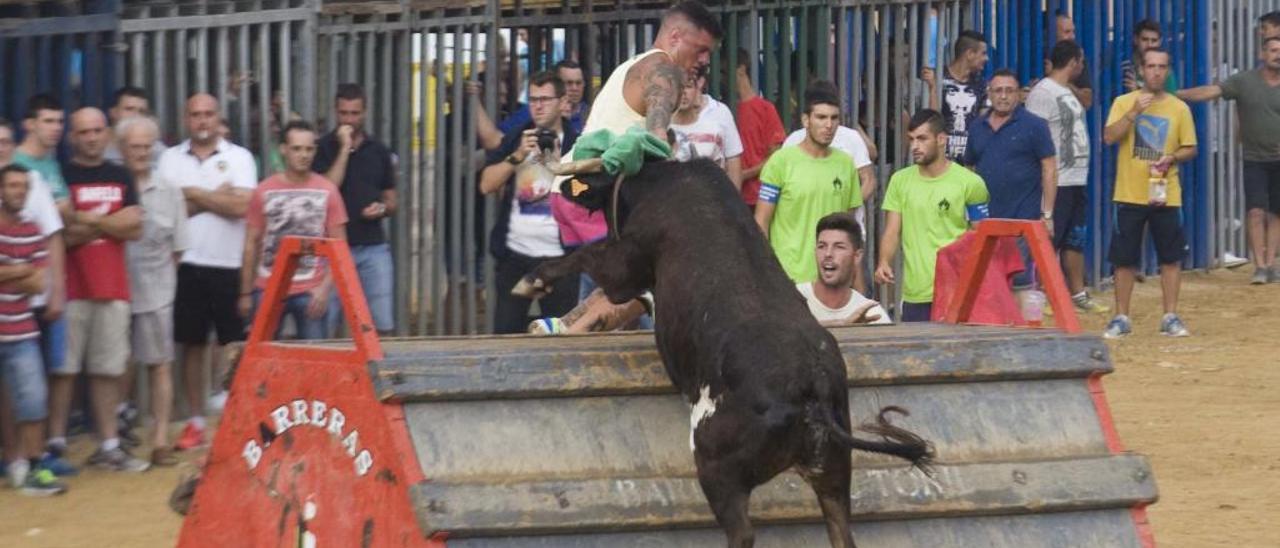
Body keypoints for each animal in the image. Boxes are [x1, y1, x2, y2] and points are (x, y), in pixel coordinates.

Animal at [509, 159, 931, 548]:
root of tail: (814, 386)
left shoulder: (625, 266)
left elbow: (586, 257)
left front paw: (531, 280)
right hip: (833, 473)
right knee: (841, 531)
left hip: (717, 466)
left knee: (742, 533)